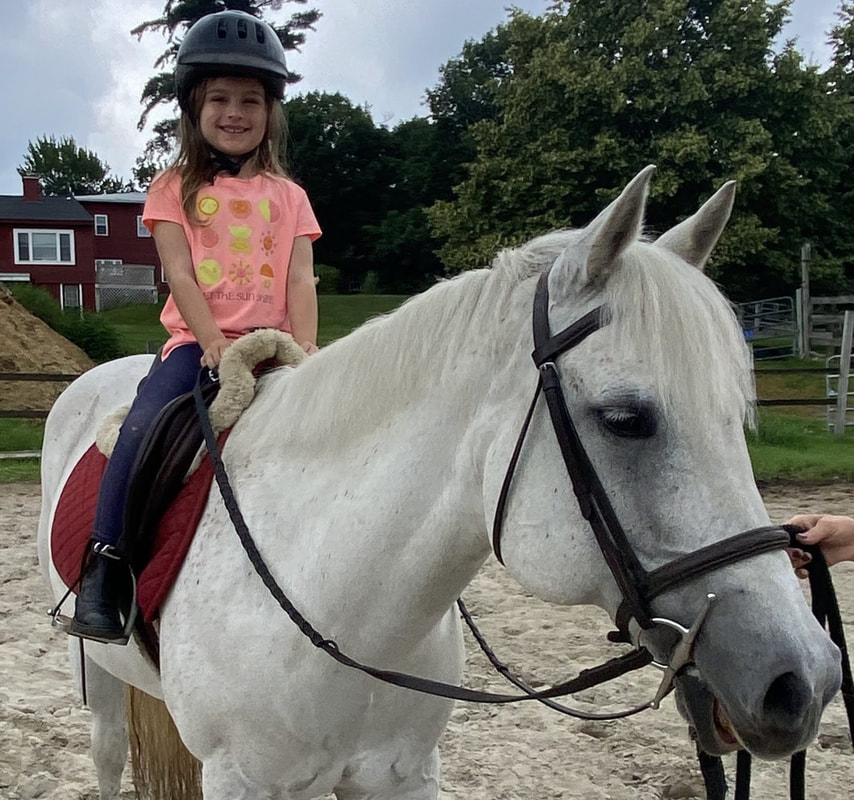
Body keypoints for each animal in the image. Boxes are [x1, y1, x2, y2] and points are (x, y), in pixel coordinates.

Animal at [38, 166, 844, 796]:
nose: (803, 682)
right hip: (98, 675)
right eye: (625, 419)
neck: (341, 604)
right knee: (107, 755)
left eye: (736, 417)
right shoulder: (245, 780)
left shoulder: (400, 774)